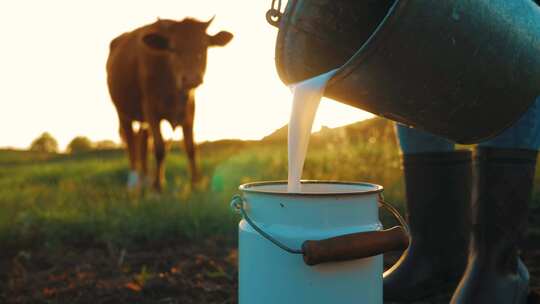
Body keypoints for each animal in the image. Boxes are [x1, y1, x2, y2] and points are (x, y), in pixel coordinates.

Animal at [105, 17, 232, 190]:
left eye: (204, 47)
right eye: (173, 49)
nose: (191, 78)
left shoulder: (189, 110)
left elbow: (191, 147)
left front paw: (196, 183)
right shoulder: (151, 109)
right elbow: (159, 148)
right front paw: (157, 186)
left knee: (143, 142)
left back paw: (144, 178)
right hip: (122, 112)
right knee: (131, 143)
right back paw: (134, 182)